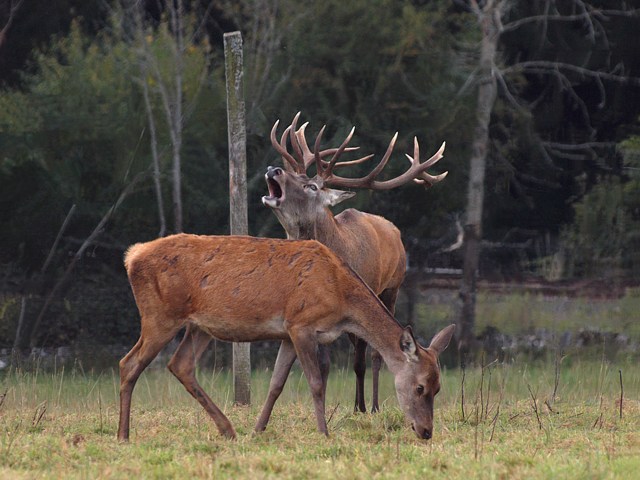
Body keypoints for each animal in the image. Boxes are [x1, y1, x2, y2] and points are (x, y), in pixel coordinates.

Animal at [116, 234, 456, 440]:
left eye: (439, 388)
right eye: (420, 387)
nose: (426, 431)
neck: (341, 296)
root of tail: (131, 257)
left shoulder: (287, 334)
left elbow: (276, 383)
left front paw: (257, 429)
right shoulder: (301, 324)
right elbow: (316, 383)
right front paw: (324, 433)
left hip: (199, 326)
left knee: (181, 364)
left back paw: (228, 429)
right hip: (160, 315)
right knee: (128, 363)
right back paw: (123, 434)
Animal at [262, 112, 448, 412]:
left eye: (311, 186)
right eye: (295, 174)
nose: (273, 169)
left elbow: (362, 357)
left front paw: (361, 408)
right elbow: (324, 364)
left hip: (392, 287)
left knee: (372, 354)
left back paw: (370, 405)